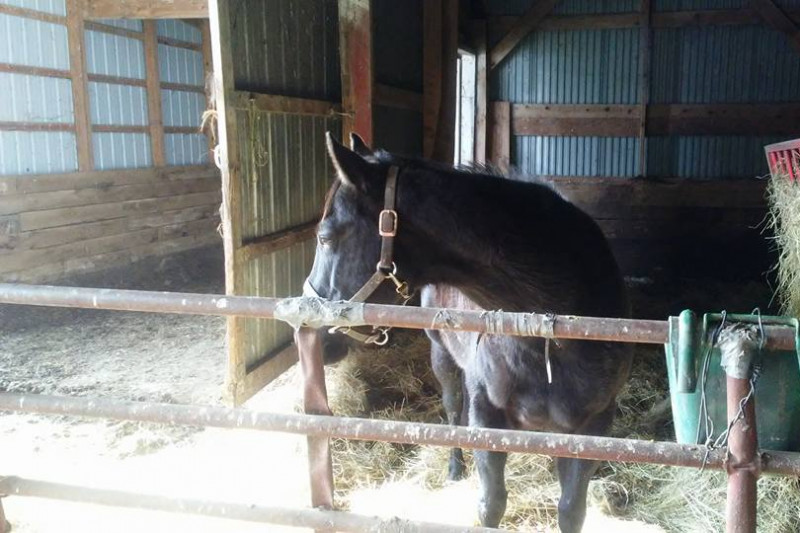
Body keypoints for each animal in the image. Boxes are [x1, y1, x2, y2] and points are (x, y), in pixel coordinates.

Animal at [303, 132, 634, 532]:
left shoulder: (592, 427)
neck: (550, 338)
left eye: (325, 237)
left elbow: (571, 510)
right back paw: (454, 467)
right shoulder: (487, 416)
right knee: (452, 408)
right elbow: (491, 504)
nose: (314, 333)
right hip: (442, 356)